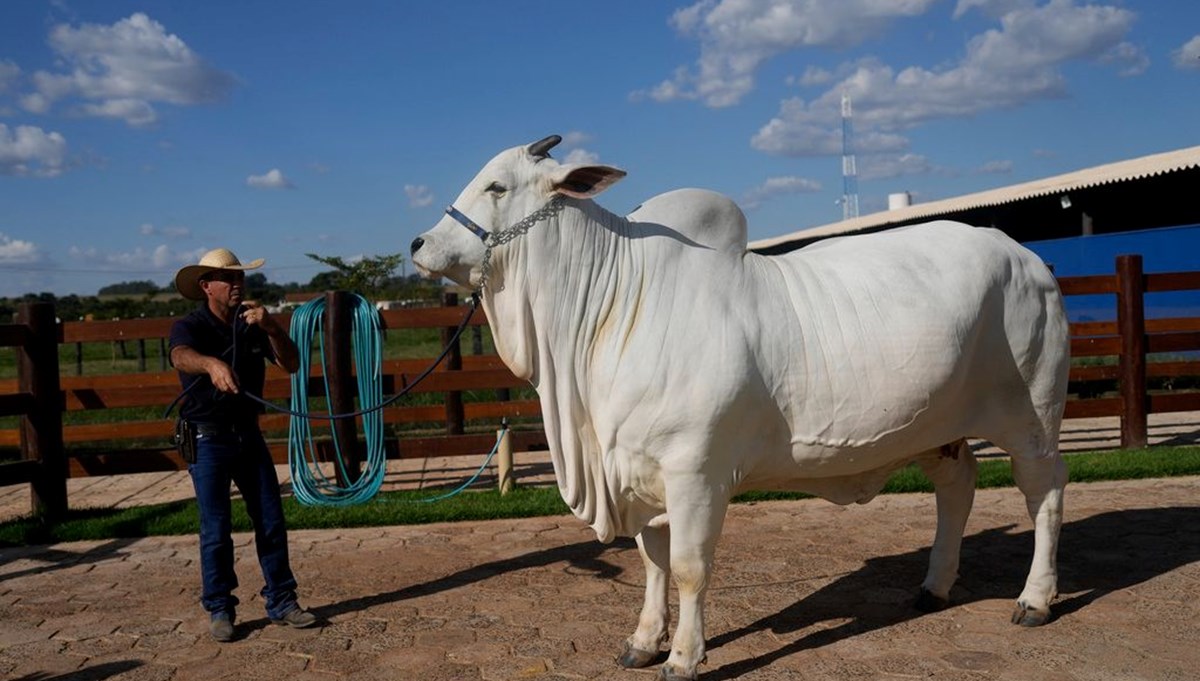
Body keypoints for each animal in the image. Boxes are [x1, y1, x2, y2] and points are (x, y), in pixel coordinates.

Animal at [410, 135, 1070, 676]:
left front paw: (683, 657)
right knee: (958, 486)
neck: (611, 310)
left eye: (497, 186)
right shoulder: (639, 472)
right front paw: (643, 642)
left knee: (1044, 492)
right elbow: (651, 563)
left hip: (1031, 417)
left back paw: (1034, 599)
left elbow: (688, 566)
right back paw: (935, 586)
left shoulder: (695, 473)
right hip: (938, 428)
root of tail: (1025, 256)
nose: (419, 243)